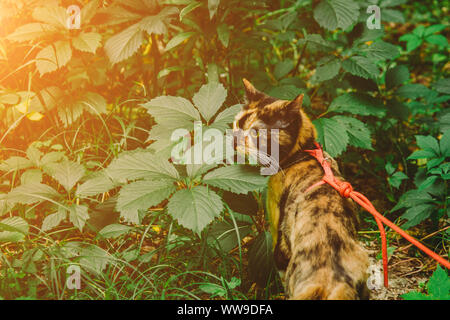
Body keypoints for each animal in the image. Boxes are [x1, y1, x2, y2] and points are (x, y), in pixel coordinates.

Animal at [236, 79, 370, 298]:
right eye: (237, 124)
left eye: (257, 134)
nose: (234, 139)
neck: (302, 154)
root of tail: (332, 281)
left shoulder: (276, 226)